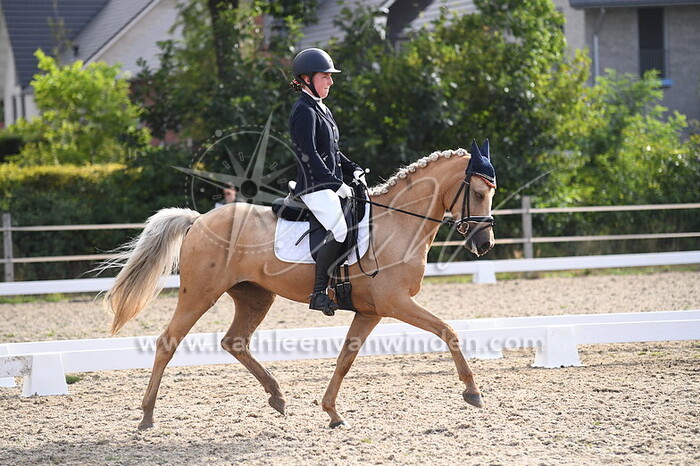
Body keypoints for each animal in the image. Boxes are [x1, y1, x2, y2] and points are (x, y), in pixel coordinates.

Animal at [103, 143, 496, 430]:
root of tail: (199, 220)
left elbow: (346, 357)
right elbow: (448, 331)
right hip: (199, 295)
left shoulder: (370, 311)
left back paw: (277, 397)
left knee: (235, 341)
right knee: (167, 342)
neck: (397, 224)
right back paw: (147, 416)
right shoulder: (394, 302)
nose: (484, 244)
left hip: (255, 296)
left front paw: (333, 413)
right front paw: (472, 391)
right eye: (478, 192)